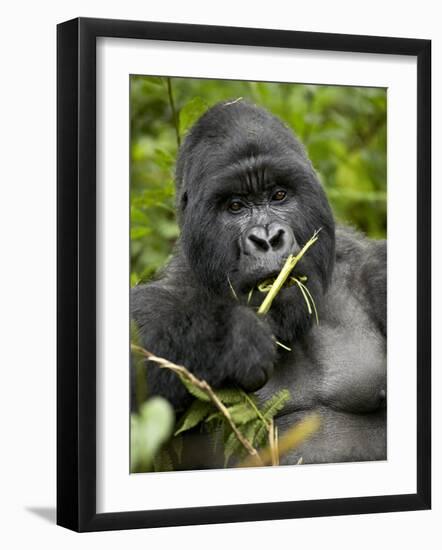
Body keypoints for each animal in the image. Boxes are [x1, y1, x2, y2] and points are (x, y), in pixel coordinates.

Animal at [131, 98, 386, 466]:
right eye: (236, 206)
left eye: (279, 195)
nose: (267, 238)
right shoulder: (168, 289)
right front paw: (230, 337)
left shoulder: (376, 270)